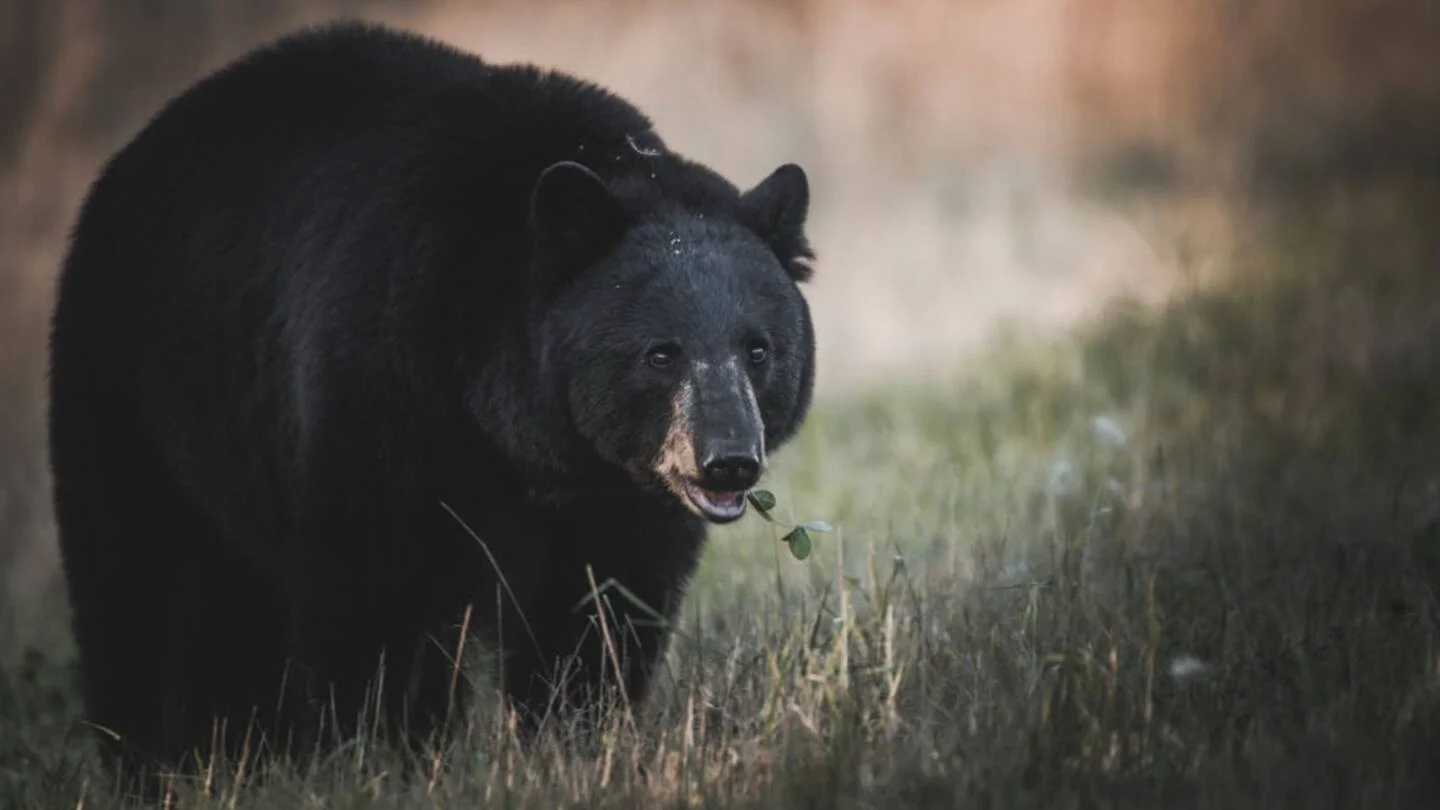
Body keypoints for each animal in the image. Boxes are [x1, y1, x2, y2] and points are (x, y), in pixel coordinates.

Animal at [46, 20, 817, 795]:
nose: (728, 462)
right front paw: (389, 757)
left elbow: (599, 612)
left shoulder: (615, 497)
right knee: (137, 583)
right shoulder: (381, 391)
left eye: (758, 349)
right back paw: (152, 762)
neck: (518, 434)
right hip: (128, 379)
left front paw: (576, 743)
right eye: (661, 354)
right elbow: (378, 599)